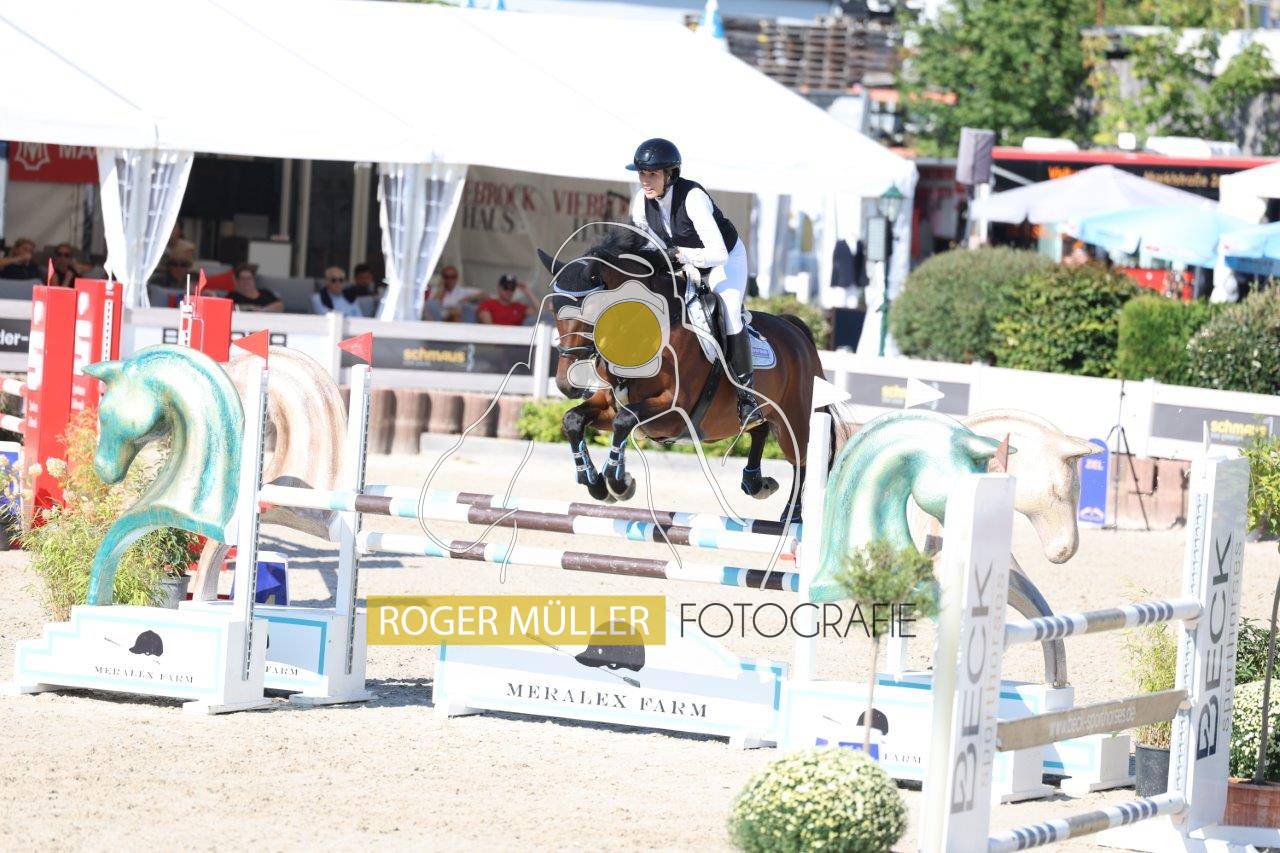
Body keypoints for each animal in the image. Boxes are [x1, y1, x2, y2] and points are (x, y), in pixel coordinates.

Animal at [538, 229, 827, 521]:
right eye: (552, 309)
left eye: (589, 309)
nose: (566, 385)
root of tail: (795, 329)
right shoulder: (609, 403)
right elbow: (573, 419)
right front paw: (597, 485)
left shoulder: (674, 411)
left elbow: (624, 420)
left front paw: (619, 484)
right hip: (764, 411)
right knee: (760, 428)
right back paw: (756, 483)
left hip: (794, 420)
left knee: (802, 458)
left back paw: (793, 514)